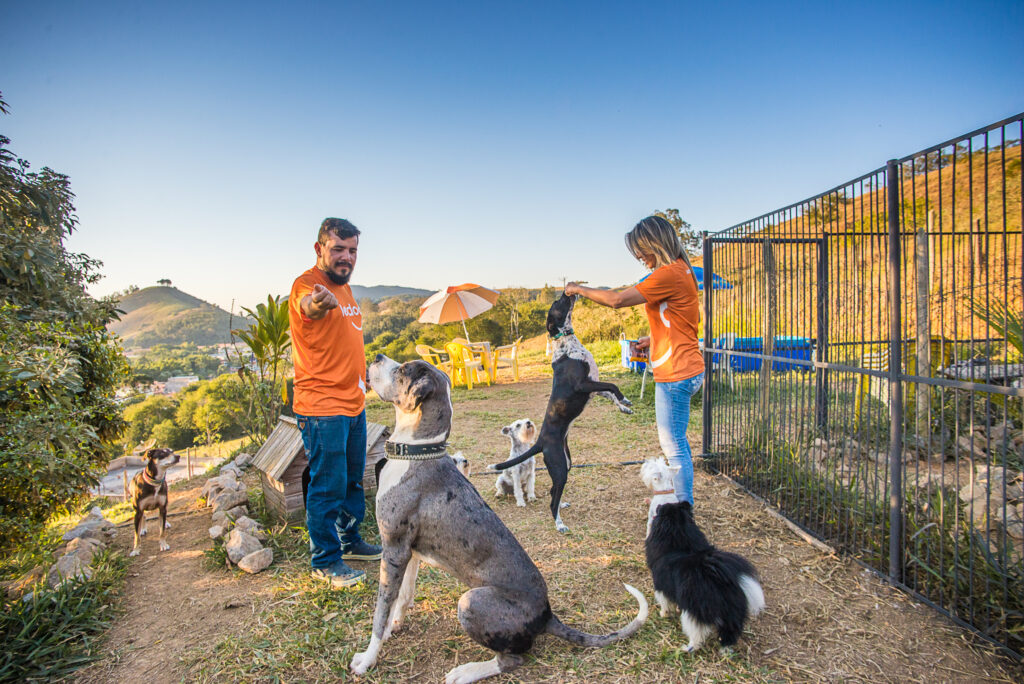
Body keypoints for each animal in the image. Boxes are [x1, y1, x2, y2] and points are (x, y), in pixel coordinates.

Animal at [487, 294, 630, 532]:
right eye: (557, 303)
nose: (566, 292)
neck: (566, 343)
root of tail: (539, 441)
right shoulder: (584, 384)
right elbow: (612, 385)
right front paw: (624, 399)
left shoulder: (594, 387)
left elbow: (610, 392)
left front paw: (624, 405)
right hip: (560, 466)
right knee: (552, 499)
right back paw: (559, 523)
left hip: (567, 463)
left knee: (555, 491)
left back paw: (562, 505)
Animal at [647, 491, 761, 651]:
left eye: (661, 508)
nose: (657, 506)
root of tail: (719, 576)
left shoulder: (661, 586)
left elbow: (665, 603)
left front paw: (663, 614)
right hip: (732, 613)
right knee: (729, 632)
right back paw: (725, 649)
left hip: (694, 612)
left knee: (696, 634)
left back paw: (688, 648)